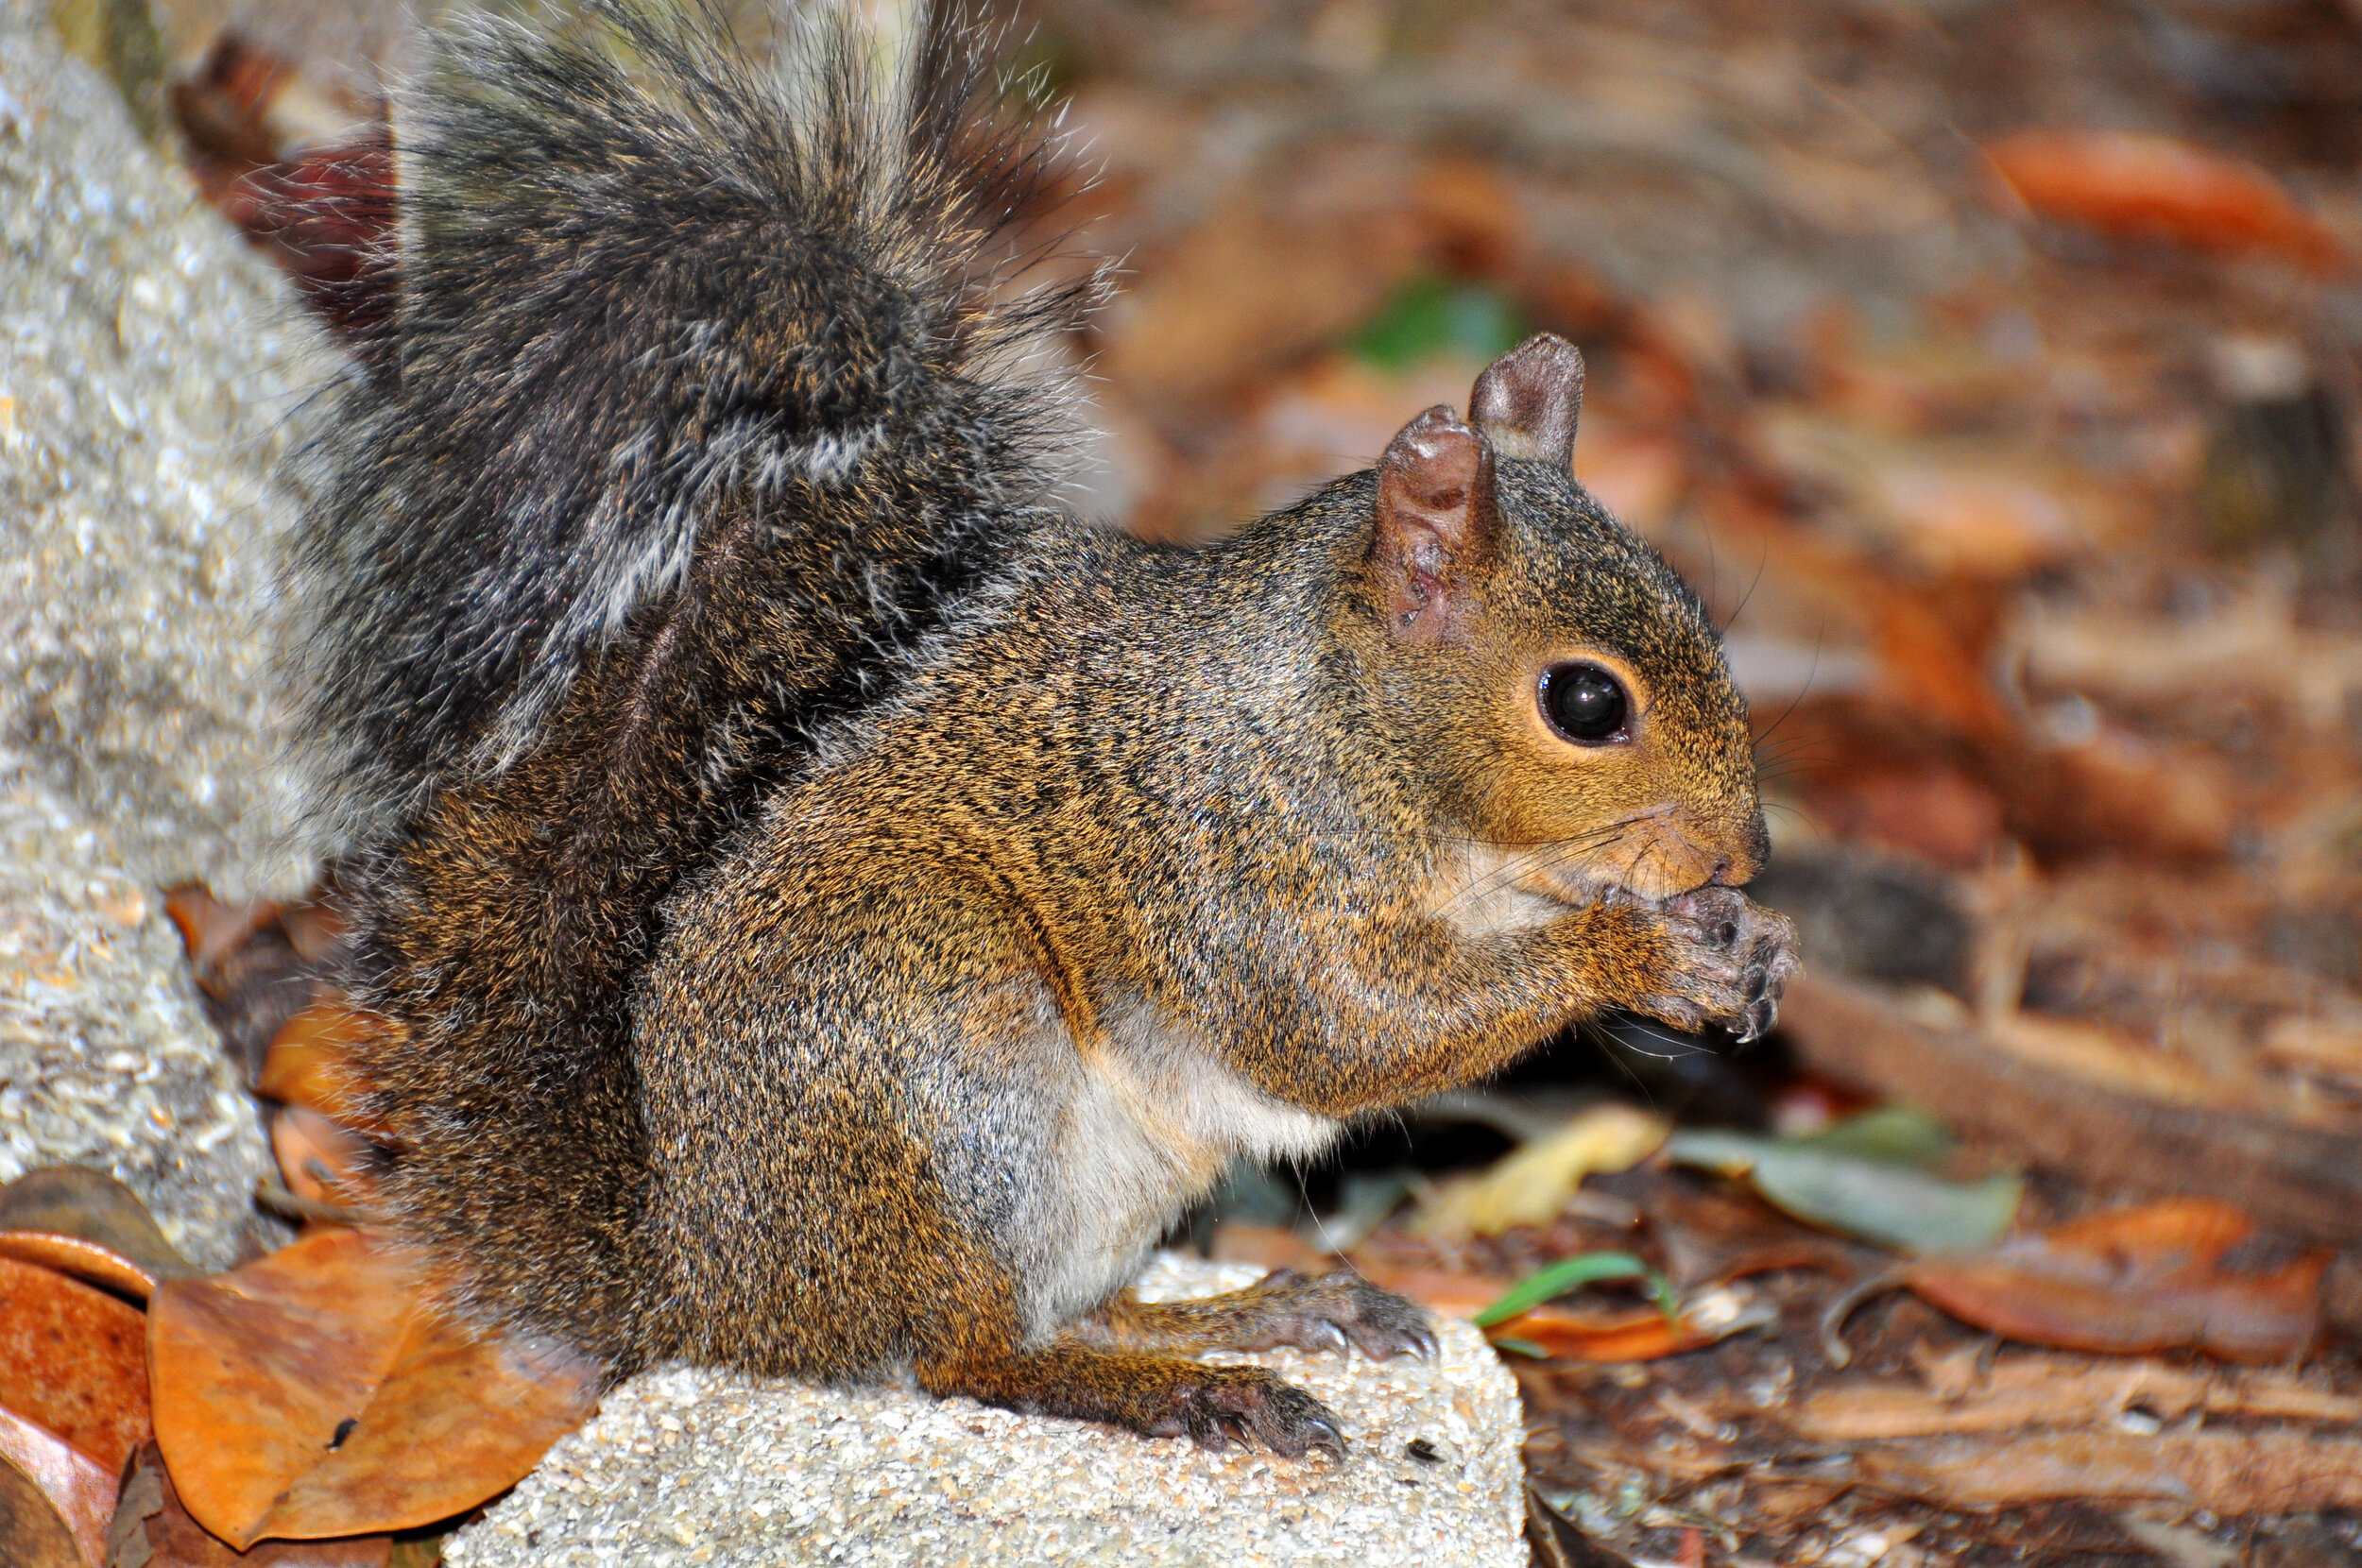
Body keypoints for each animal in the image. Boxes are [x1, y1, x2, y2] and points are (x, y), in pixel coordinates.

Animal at [287, 0, 1798, 1456]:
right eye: (1586, 702)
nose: (1742, 857)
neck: (1355, 729)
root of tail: (711, 1285)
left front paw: (1744, 949)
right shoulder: (1231, 852)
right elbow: (1339, 1026)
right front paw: (1635, 952)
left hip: (1105, 1173)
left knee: (1071, 1307)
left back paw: (1247, 1314)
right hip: (928, 1022)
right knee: (968, 1353)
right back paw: (1178, 1391)